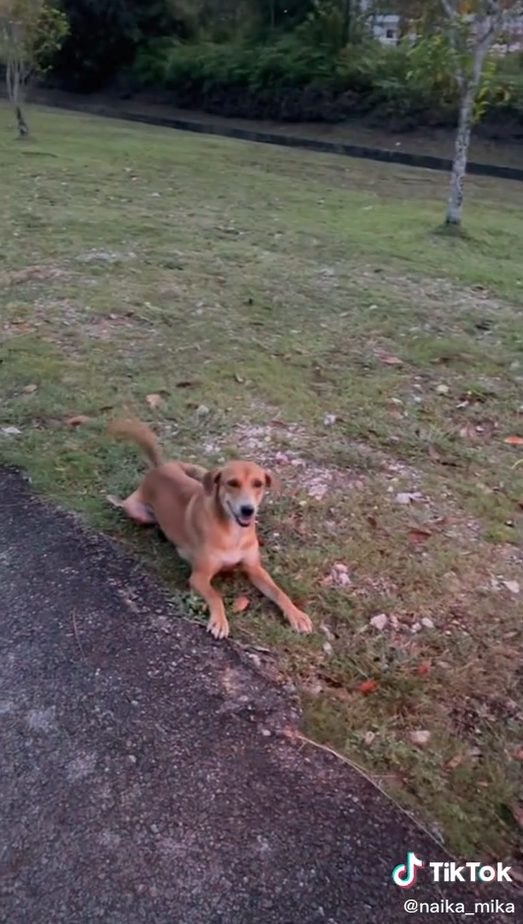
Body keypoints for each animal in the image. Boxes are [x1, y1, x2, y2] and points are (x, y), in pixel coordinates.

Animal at [106, 422, 312, 640]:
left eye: (258, 484)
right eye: (232, 483)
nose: (248, 510)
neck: (233, 532)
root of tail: (158, 468)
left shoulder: (254, 569)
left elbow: (279, 592)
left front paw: (296, 615)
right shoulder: (199, 577)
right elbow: (215, 596)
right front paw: (219, 621)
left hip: (199, 470)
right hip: (137, 510)